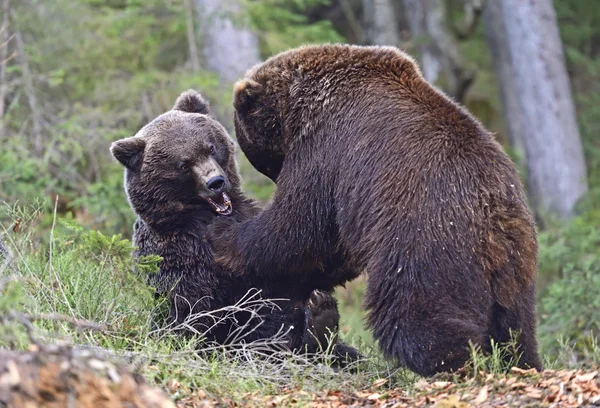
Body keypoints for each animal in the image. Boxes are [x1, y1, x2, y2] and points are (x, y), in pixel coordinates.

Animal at [110, 89, 358, 360]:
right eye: (183, 164)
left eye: (210, 147)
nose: (216, 181)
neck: (203, 218)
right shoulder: (183, 255)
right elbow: (198, 308)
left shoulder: (247, 225)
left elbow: (293, 268)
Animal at [211, 43, 544, 376]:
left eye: (266, 161)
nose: (275, 176)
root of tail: (497, 218)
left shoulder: (326, 150)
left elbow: (298, 227)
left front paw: (226, 239)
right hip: (517, 269)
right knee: (516, 327)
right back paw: (521, 361)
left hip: (424, 238)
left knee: (413, 312)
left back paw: (445, 363)